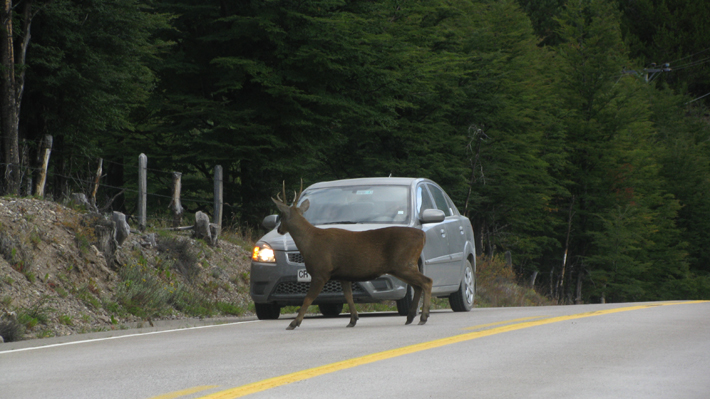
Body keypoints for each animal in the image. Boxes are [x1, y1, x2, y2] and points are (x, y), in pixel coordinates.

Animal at [272, 182, 434, 332]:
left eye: (282, 216)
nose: (279, 229)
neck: (309, 243)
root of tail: (422, 235)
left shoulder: (321, 272)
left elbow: (307, 299)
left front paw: (293, 323)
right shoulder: (343, 275)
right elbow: (349, 297)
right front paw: (353, 320)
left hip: (403, 263)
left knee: (427, 281)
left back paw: (423, 317)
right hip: (404, 266)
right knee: (418, 285)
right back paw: (410, 317)